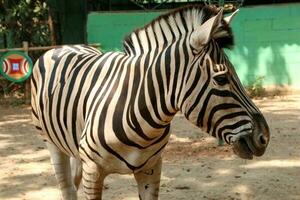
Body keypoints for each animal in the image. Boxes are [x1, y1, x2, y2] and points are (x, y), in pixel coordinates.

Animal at [30, 4, 270, 200]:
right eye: (221, 79)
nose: (264, 138)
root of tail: (64, 46)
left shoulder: (152, 168)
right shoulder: (93, 170)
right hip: (51, 143)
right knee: (67, 188)